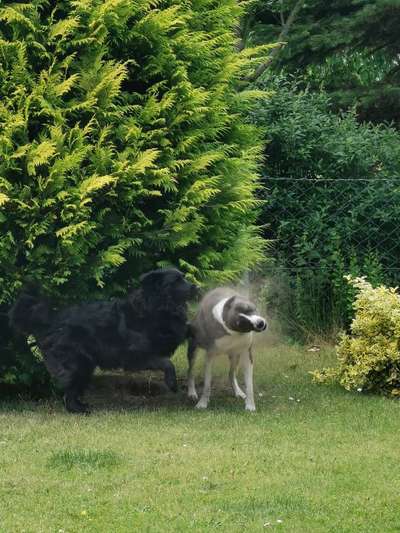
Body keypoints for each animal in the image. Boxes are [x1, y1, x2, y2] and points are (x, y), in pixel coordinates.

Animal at [9, 268, 197, 414]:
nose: (196, 287)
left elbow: (186, 330)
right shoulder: (136, 356)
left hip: (86, 366)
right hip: (77, 363)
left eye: (184, 277)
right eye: (176, 281)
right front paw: (172, 384)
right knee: (68, 391)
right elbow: (166, 362)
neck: (157, 308)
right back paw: (79, 410)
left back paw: (81, 406)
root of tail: (52, 320)